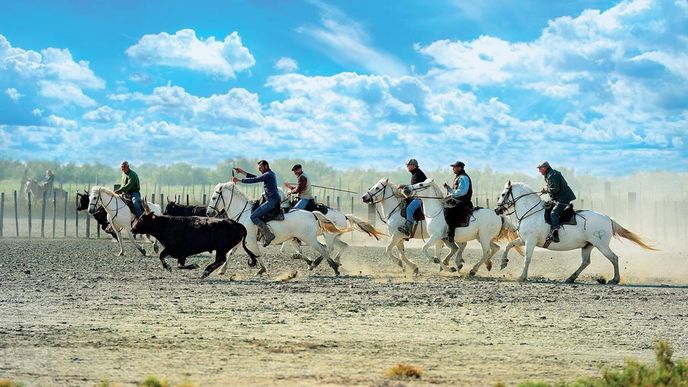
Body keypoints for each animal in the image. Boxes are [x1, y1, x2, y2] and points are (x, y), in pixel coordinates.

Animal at [494, 182, 656, 284]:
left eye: (503, 194)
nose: (496, 210)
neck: (531, 213)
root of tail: (608, 218)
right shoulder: (524, 239)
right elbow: (509, 245)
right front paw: (503, 263)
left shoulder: (531, 241)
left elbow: (527, 258)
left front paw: (522, 277)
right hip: (587, 245)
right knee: (586, 262)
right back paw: (571, 278)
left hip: (601, 245)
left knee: (614, 258)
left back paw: (614, 280)